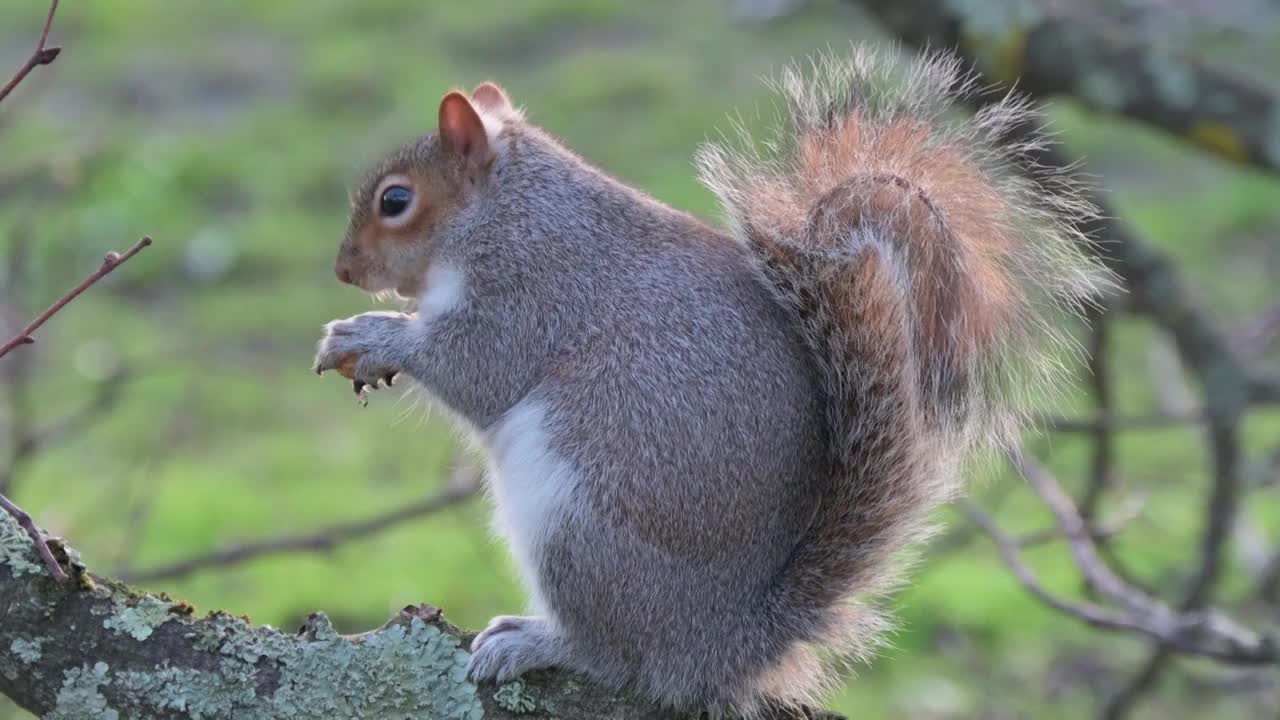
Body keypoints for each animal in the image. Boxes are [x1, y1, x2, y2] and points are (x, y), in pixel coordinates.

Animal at [312, 47, 1111, 712]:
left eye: (395, 200)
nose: (343, 269)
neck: (507, 210)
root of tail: (729, 641)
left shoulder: (537, 292)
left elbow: (478, 365)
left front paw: (371, 335)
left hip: (580, 520)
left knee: (621, 657)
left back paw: (541, 641)